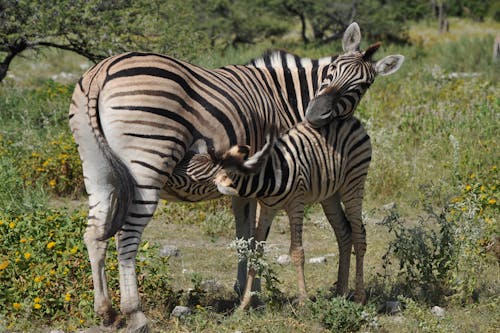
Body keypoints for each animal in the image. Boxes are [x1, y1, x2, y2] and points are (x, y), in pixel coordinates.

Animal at [69, 22, 402, 330]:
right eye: (331, 71)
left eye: (362, 86)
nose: (315, 114)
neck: (283, 98)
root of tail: (101, 70)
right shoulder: (271, 173)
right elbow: (257, 238)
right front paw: (255, 297)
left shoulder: (247, 185)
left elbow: (245, 237)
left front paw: (245, 293)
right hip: (147, 162)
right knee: (126, 235)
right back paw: (134, 313)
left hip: (96, 168)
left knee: (94, 233)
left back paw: (106, 312)